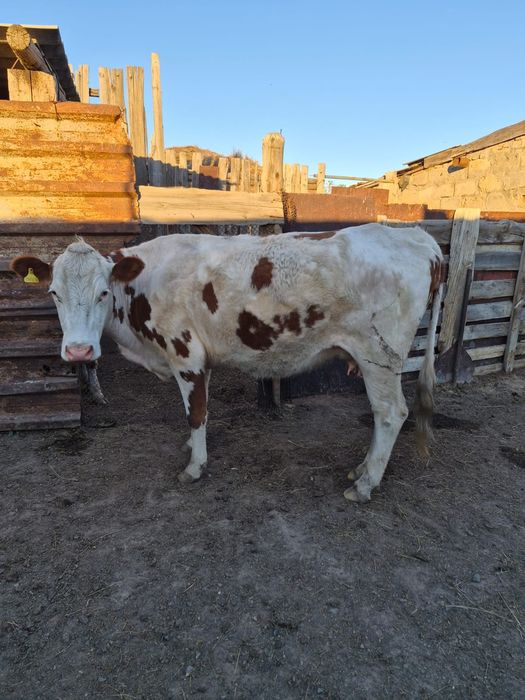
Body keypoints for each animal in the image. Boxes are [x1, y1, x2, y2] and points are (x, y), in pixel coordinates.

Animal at [11, 224, 443, 502]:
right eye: (53, 292)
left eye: (103, 292)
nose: (79, 352)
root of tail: (419, 238)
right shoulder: (196, 359)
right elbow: (196, 411)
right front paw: (192, 447)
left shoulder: (185, 353)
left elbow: (196, 412)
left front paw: (195, 467)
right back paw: (360, 469)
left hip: (378, 357)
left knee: (390, 413)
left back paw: (366, 483)